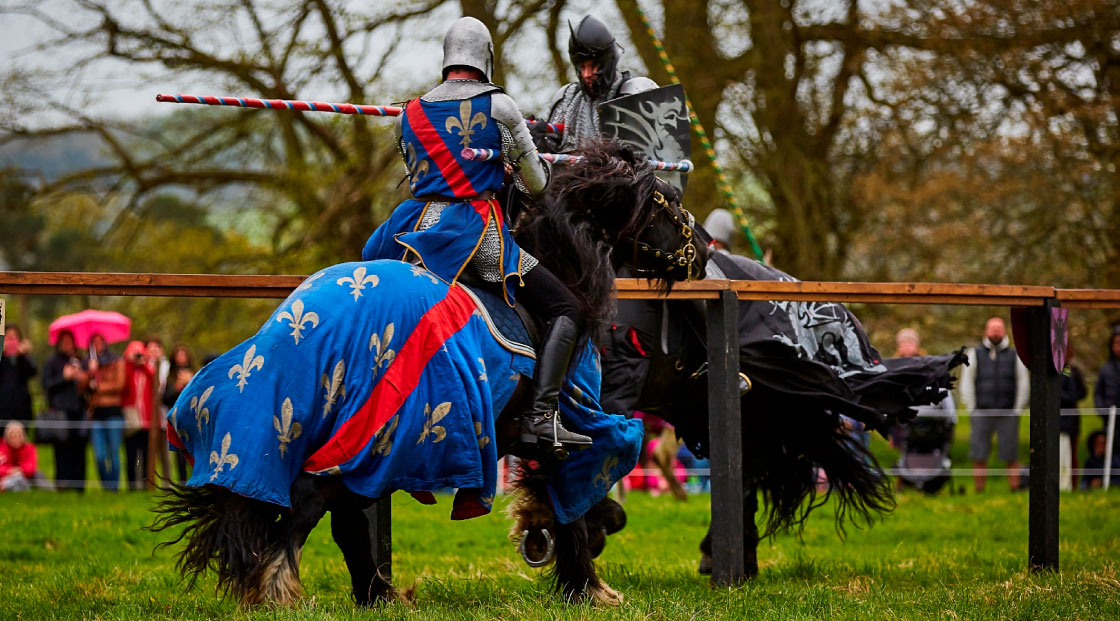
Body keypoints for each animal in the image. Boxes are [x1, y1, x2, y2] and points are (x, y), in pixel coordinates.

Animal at [148, 143, 707, 605]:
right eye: (665, 202)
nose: (700, 257)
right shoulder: (570, 429)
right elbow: (573, 504)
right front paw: (586, 583)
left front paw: (556, 556)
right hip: (366, 439)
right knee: (308, 507)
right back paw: (280, 592)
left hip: (368, 448)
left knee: (342, 517)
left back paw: (378, 595)